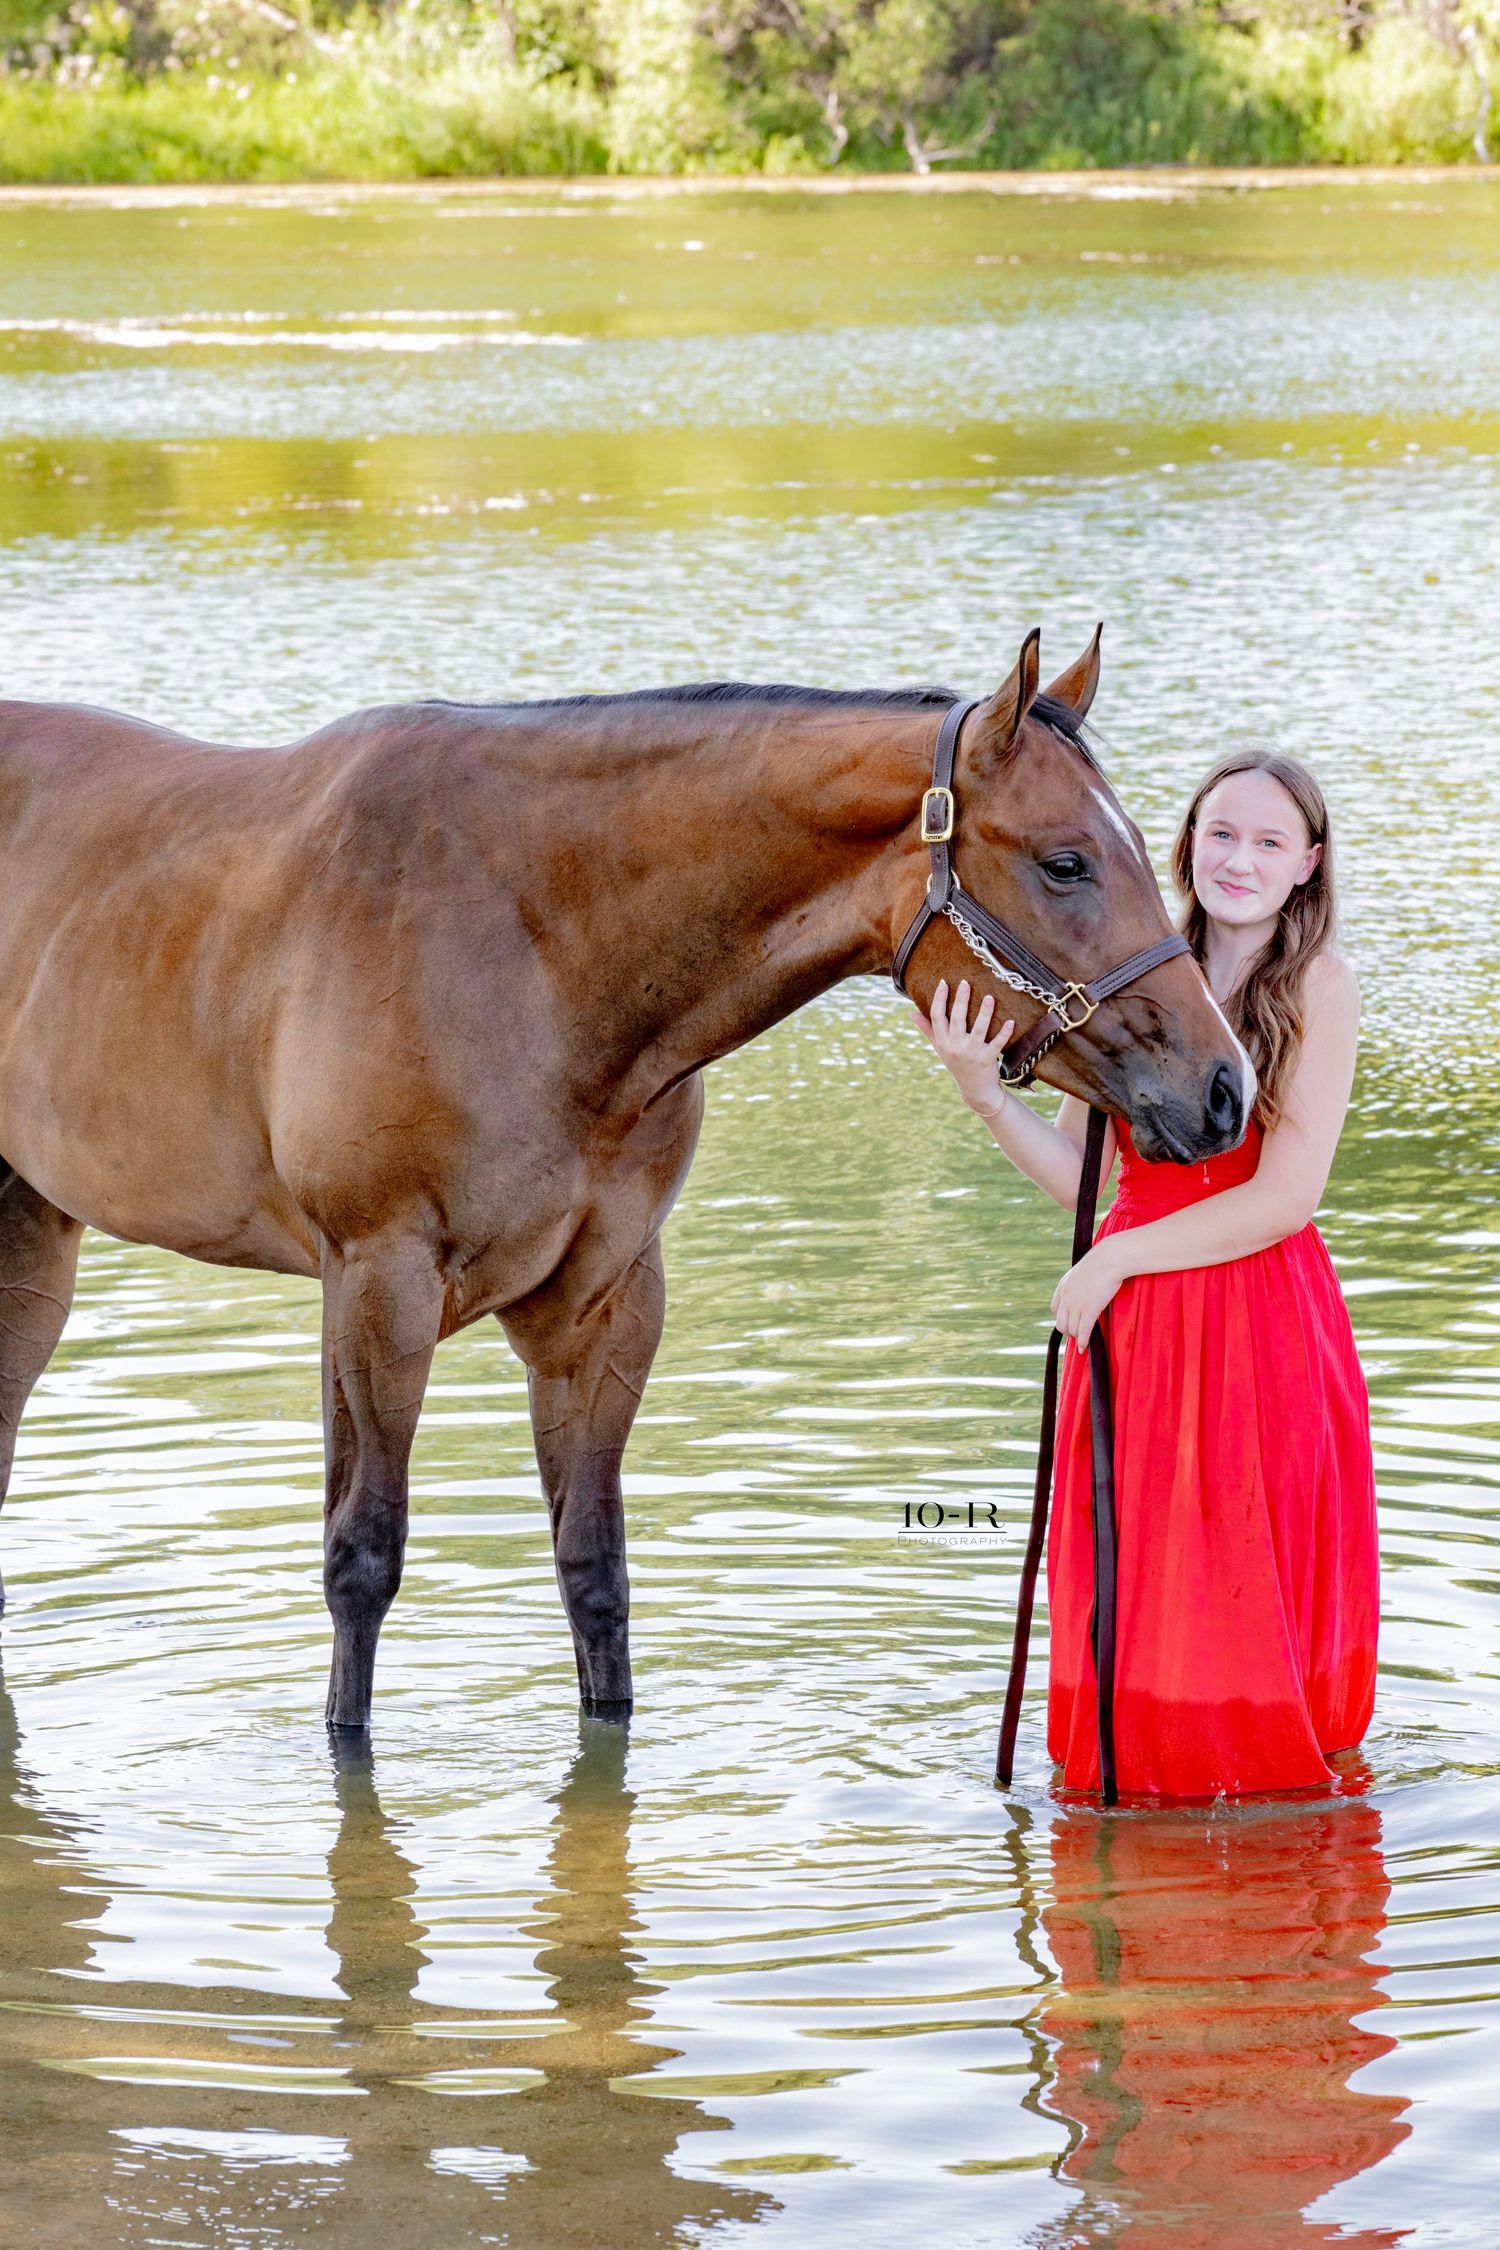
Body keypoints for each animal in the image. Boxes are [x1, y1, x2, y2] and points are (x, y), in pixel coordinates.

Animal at [0, 627, 1248, 1731]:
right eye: (1065, 861)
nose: (1223, 1087)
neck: (539, 943)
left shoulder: (603, 1302)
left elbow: (592, 1567)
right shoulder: (377, 1281)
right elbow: (363, 1560)